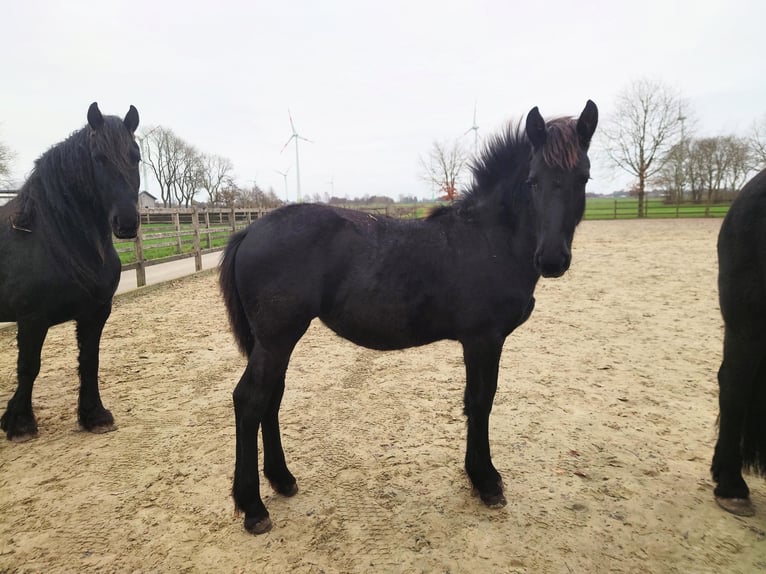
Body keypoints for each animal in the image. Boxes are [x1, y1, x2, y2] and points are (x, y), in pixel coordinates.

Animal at [0, 103, 141, 444]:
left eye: (136, 156)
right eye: (98, 158)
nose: (127, 222)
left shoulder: (96, 311)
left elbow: (89, 360)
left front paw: (95, 416)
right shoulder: (31, 319)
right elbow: (28, 367)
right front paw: (20, 424)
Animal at [220, 99, 600, 536]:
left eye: (583, 177)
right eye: (533, 181)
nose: (552, 259)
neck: (489, 239)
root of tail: (249, 231)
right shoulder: (484, 339)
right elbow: (480, 401)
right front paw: (486, 481)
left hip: (275, 342)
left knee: (272, 397)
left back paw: (282, 480)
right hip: (277, 338)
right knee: (250, 400)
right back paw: (253, 507)